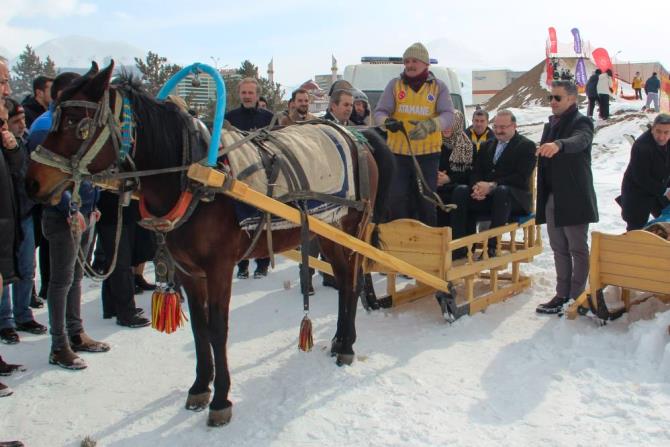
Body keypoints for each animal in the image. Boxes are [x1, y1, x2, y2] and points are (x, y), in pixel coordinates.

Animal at [25, 61, 394, 428]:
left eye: (77, 124)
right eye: (53, 118)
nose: (33, 182)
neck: (193, 177)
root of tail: (356, 135)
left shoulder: (219, 268)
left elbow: (218, 328)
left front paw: (221, 399)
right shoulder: (188, 270)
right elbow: (199, 328)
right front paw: (201, 387)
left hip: (350, 226)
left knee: (351, 281)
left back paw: (346, 345)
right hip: (327, 230)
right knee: (345, 278)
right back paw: (340, 340)